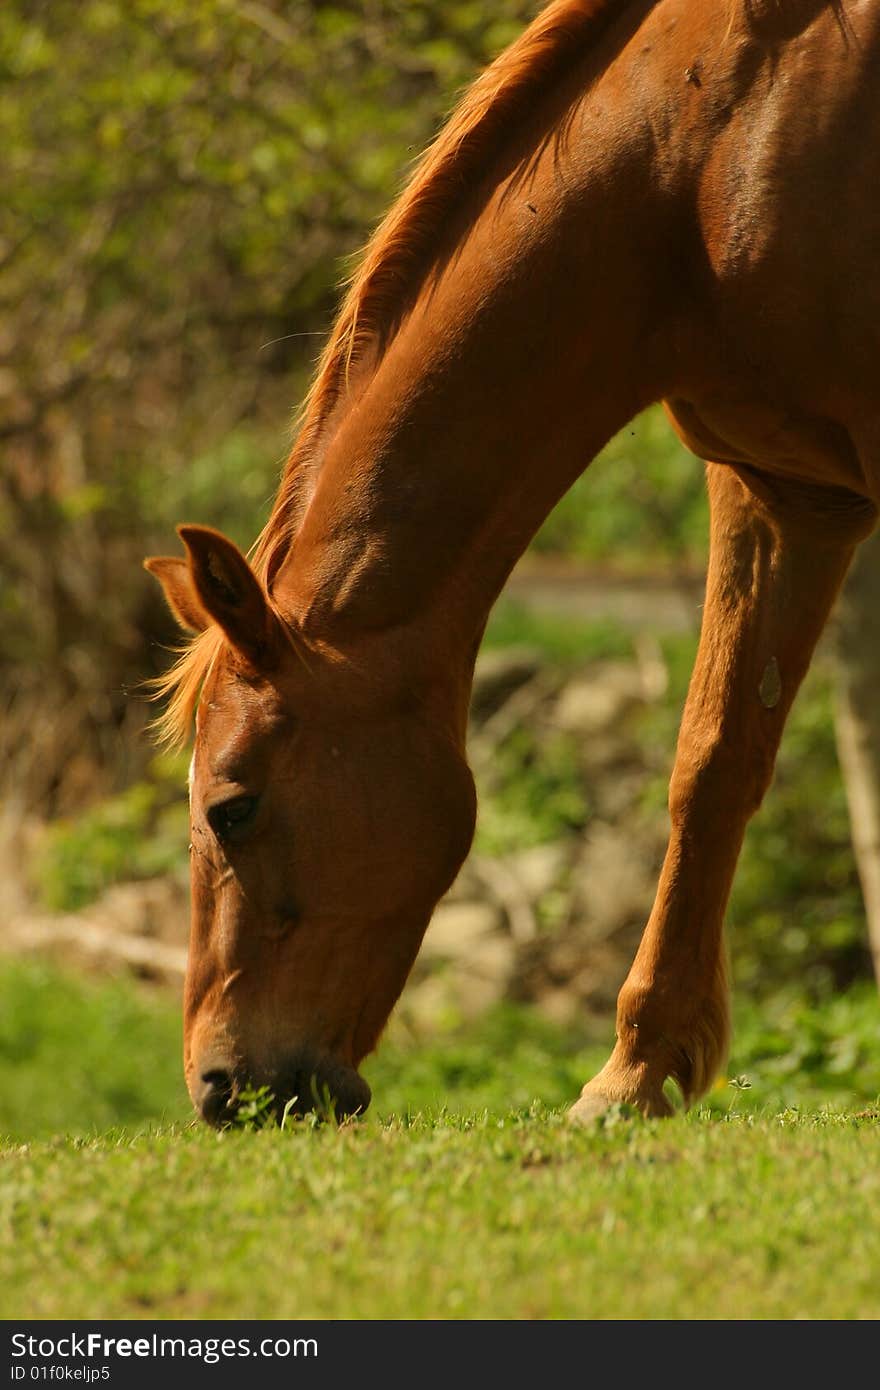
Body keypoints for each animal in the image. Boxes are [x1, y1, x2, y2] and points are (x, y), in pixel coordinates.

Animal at [143, 0, 878, 1123]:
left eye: (232, 807)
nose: (224, 1088)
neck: (705, 145)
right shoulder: (781, 492)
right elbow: (712, 765)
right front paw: (634, 1073)